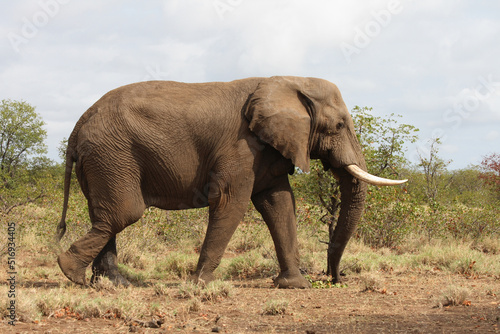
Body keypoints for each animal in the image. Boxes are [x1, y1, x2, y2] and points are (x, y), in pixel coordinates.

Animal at [55, 75, 406, 288]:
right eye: (339, 125)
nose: (335, 279)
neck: (289, 81)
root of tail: (76, 127)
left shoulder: (266, 149)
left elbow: (279, 204)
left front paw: (294, 285)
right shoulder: (241, 146)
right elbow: (229, 201)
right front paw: (201, 284)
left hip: (104, 159)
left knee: (105, 216)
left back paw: (114, 284)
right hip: (112, 154)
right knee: (123, 213)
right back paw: (72, 274)